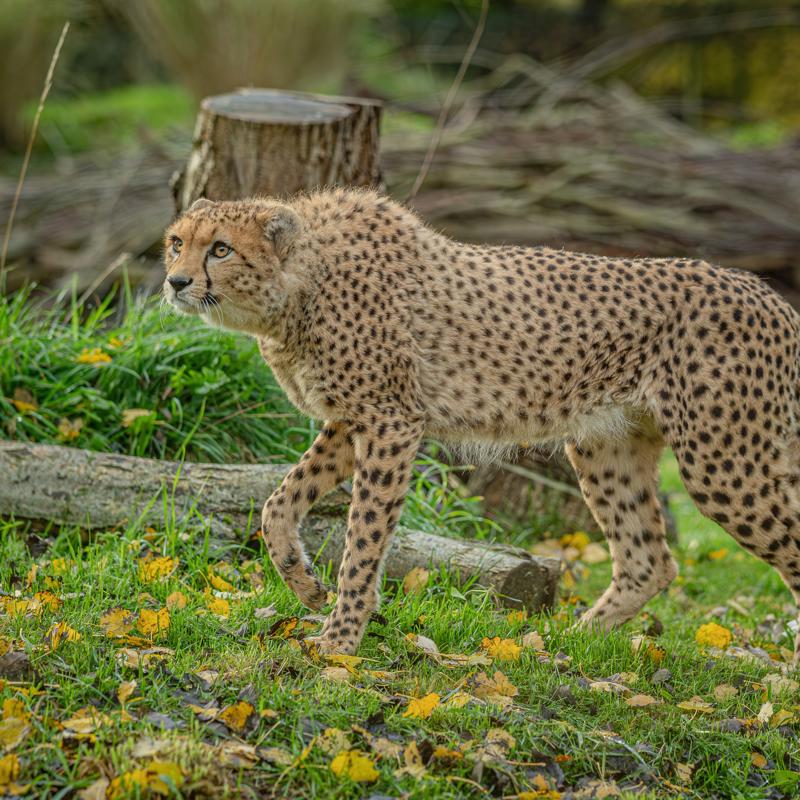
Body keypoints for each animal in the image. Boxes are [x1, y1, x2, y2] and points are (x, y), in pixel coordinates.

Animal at [163, 187, 800, 660]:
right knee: (649, 560)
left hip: (724, 464)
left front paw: (342, 638)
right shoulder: (350, 421)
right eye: (176, 243)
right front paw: (305, 585)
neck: (300, 283)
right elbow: (278, 504)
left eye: (220, 250)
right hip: (606, 445)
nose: (175, 281)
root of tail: (769, 293)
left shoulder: (391, 423)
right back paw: (567, 643)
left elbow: (363, 538)